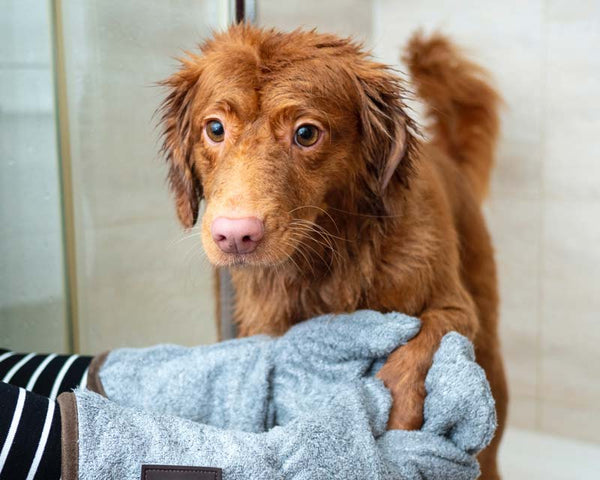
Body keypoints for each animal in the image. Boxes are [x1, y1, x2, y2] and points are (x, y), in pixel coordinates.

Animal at [158, 24, 506, 478]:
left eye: (306, 133)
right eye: (214, 129)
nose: (235, 236)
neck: (325, 265)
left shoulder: (455, 307)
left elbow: (421, 343)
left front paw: (394, 423)